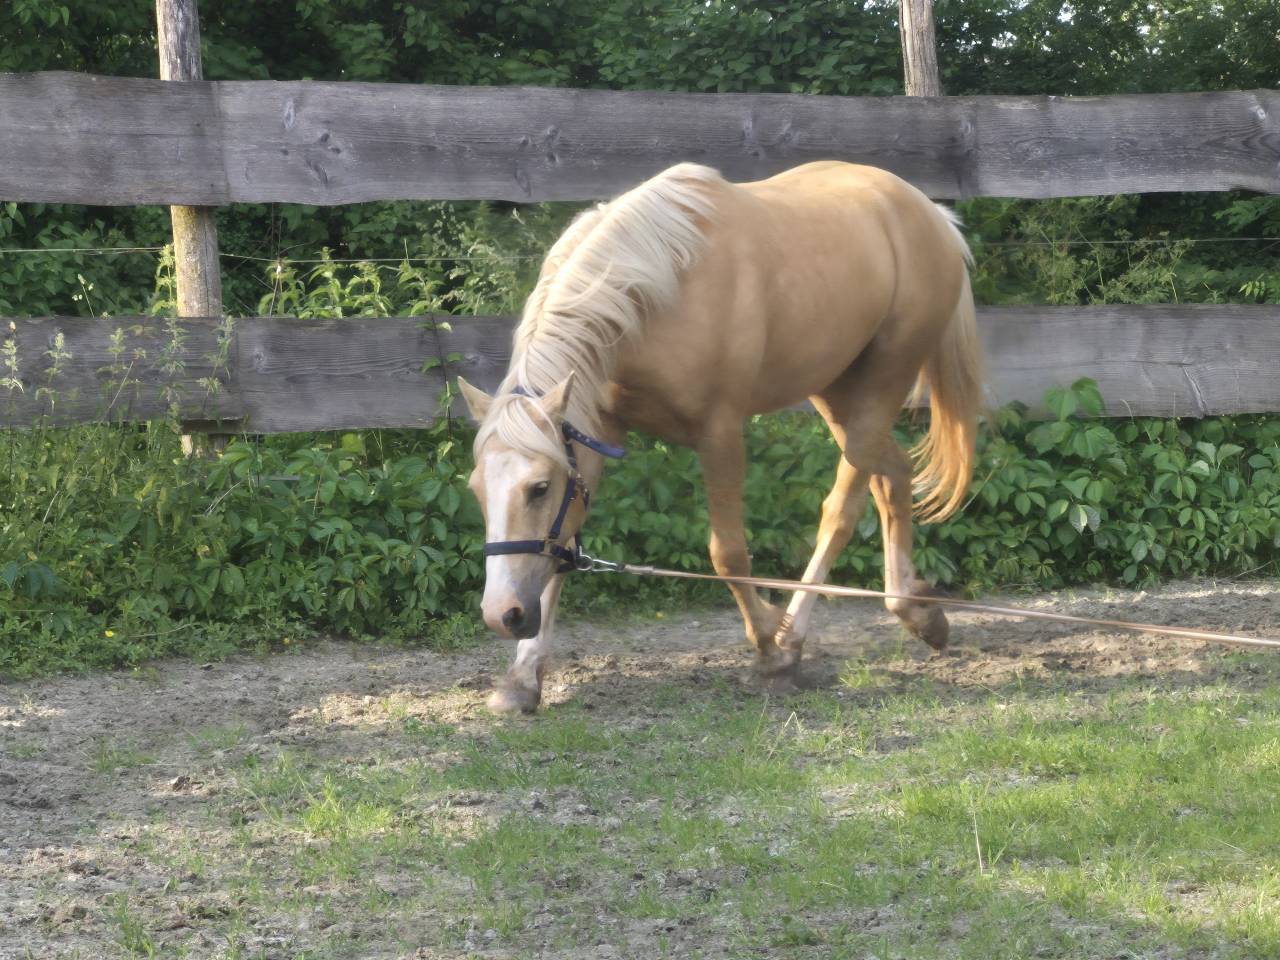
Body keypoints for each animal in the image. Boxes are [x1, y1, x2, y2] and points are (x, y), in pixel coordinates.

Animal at [458, 160, 984, 714]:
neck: (651, 296)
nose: (502, 614)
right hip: (838, 394)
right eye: (477, 490)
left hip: (877, 394)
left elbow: (727, 553)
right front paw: (522, 678)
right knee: (894, 474)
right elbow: (561, 546)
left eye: (538, 488)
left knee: (842, 510)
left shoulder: (721, 434)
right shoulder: (591, 436)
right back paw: (918, 612)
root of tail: (933, 216)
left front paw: (769, 649)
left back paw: (795, 641)